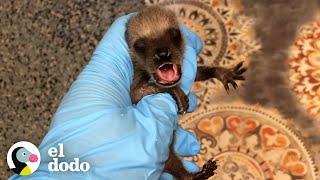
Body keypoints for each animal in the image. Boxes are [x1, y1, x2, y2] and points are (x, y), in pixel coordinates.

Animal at [125, 5, 245, 180]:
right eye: (140, 46)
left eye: (174, 34)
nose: (162, 53)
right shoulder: (137, 76)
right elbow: (135, 94)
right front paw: (177, 93)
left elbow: (198, 73)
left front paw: (223, 73)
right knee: (173, 165)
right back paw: (196, 175)